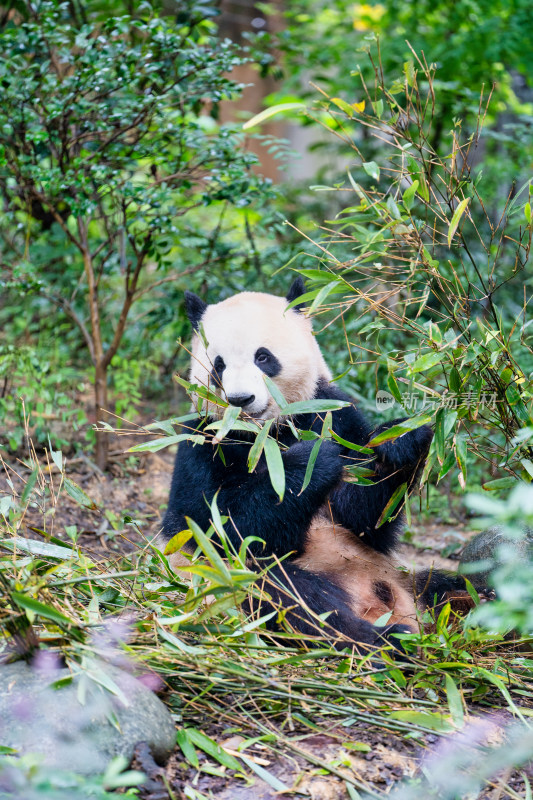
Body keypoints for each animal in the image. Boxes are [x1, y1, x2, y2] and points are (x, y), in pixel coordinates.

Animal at [160, 280, 472, 648]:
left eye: (263, 357)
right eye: (218, 365)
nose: (240, 400)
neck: (267, 433)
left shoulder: (333, 414)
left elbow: (363, 516)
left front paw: (401, 439)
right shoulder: (203, 440)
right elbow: (215, 524)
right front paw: (311, 460)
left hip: (409, 579)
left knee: (457, 584)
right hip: (230, 585)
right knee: (288, 596)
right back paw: (380, 640)